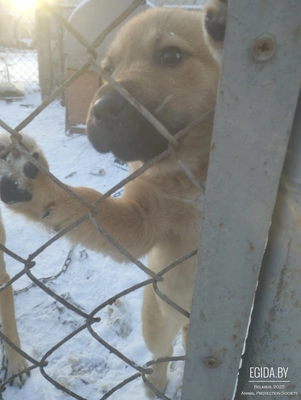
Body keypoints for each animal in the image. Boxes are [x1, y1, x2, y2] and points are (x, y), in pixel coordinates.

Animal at [0, 0, 225, 396]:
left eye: (171, 55)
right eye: (107, 71)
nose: (99, 110)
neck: (194, 173)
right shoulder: (141, 221)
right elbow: (81, 201)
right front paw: (31, 182)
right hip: (157, 313)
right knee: (162, 350)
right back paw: (156, 382)